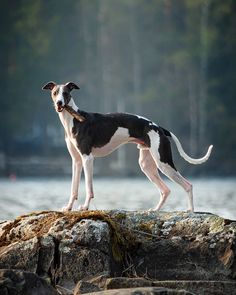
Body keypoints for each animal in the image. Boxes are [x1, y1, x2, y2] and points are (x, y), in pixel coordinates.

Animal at [42, 81, 212, 213]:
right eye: (55, 92)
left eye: (66, 93)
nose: (59, 103)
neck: (74, 120)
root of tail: (159, 127)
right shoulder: (76, 161)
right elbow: (73, 188)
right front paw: (68, 208)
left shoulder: (87, 158)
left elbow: (89, 188)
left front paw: (84, 207)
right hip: (147, 165)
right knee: (165, 190)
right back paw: (155, 210)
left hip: (163, 162)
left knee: (188, 185)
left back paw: (190, 210)